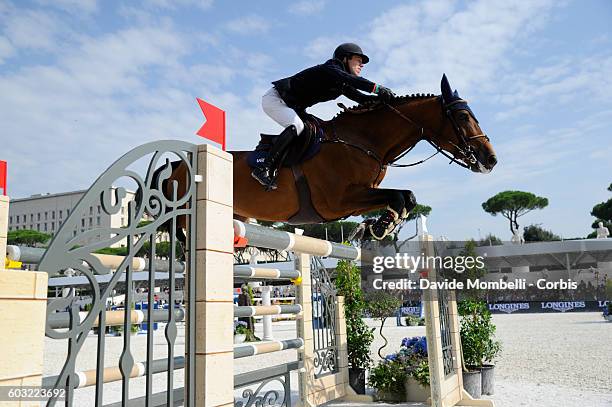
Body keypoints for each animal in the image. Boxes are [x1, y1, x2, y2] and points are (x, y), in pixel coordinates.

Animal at [167, 75, 498, 241]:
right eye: (463, 116)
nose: (491, 159)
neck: (361, 141)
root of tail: (176, 165)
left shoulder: (360, 196)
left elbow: (406, 197)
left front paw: (379, 226)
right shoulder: (339, 201)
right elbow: (400, 196)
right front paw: (380, 227)